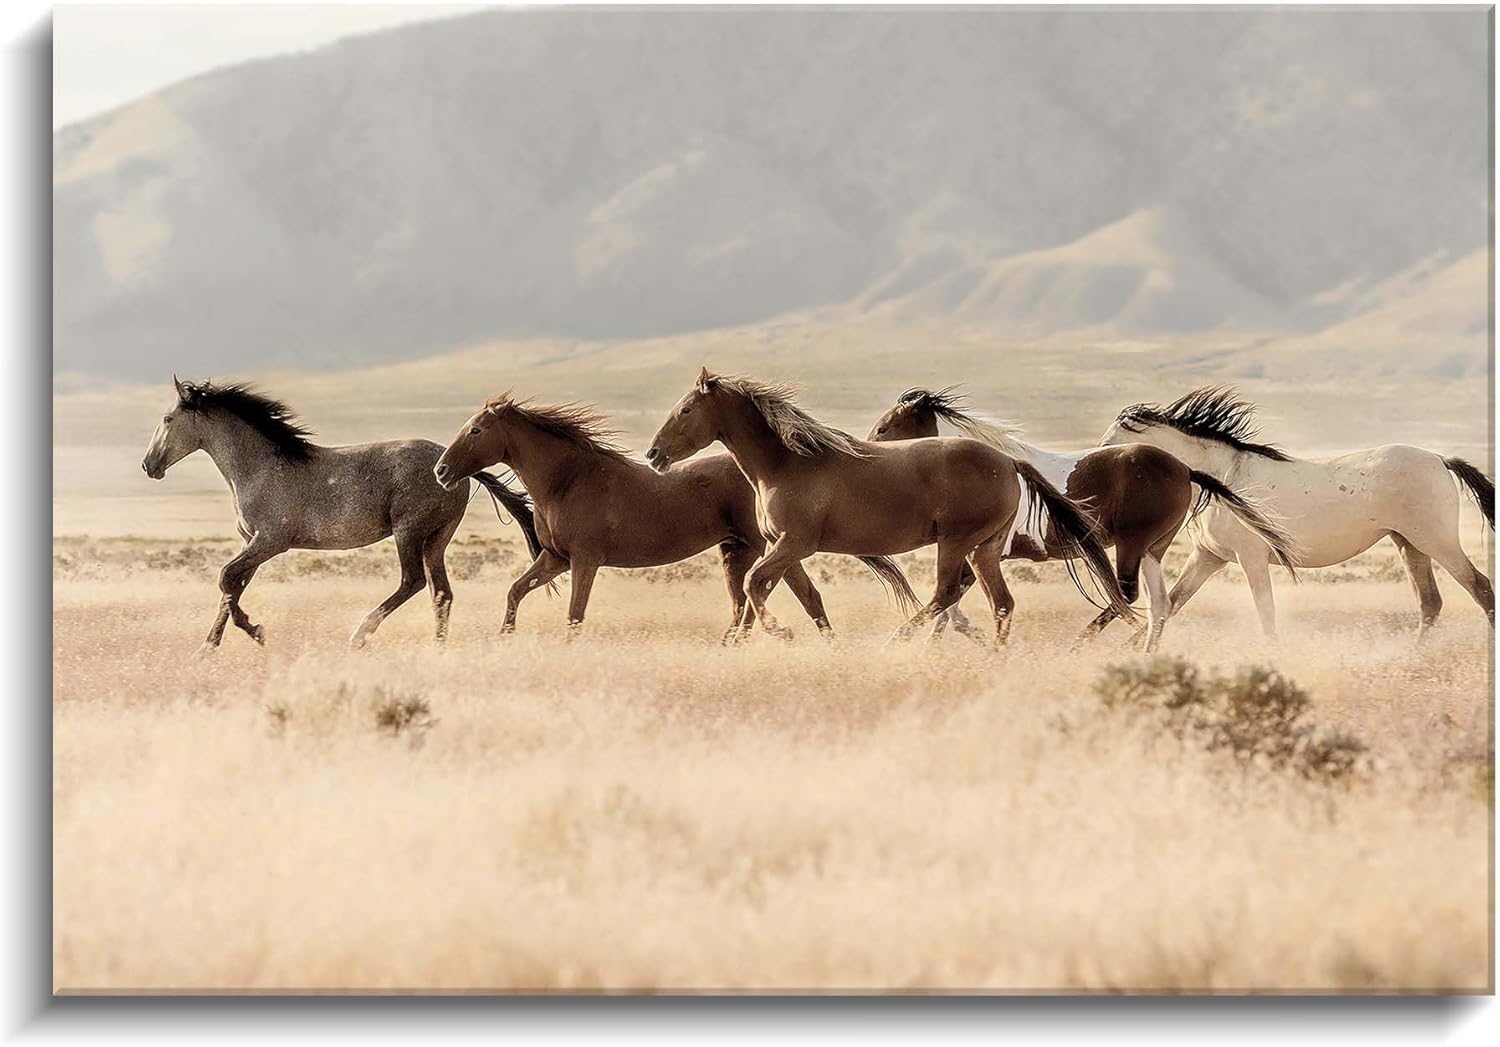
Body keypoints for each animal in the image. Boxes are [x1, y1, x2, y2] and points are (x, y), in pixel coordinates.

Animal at [140, 377, 542, 652]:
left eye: (167, 418)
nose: (148, 465)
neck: (259, 467)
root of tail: (452, 467)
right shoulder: (251, 543)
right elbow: (233, 586)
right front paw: (210, 645)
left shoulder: (270, 541)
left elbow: (226, 579)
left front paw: (256, 633)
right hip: (437, 538)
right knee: (441, 592)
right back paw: (437, 646)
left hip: (408, 532)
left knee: (412, 581)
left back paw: (360, 634)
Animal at [432, 393, 915, 639]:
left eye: (476, 430)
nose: (440, 471)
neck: (566, 480)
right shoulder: (555, 559)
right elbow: (515, 592)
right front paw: (505, 639)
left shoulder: (584, 561)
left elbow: (574, 615)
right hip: (748, 551)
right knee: (766, 603)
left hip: (771, 548)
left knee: (780, 599)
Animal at [644, 368, 1135, 645]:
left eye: (686, 410)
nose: (653, 454)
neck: (787, 462)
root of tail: (1008, 461)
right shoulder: (783, 547)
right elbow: (803, 597)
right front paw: (826, 647)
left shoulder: (795, 544)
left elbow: (753, 584)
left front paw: (780, 632)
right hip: (985, 548)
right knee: (1000, 603)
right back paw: (993, 659)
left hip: (956, 543)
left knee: (945, 594)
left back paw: (900, 639)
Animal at [867, 388, 1300, 651]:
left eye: (886, 427)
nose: (867, 453)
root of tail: (1183, 469)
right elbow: (950, 608)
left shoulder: (980, 552)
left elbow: (951, 603)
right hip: (1153, 550)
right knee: (1160, 604)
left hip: (1132, 544)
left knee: (1127, 595)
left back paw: (1082, 646)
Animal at [1100, 386, 1495, 639]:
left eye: (1110, 446)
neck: (1223, 479)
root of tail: (1440, 459)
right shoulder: (1209, 557)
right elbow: (1171, 605)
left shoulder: (1250, 557)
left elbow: (1266, 615)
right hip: (1408, 543)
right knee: (1430, 603)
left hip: (1437, 541)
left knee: (1480, 588)